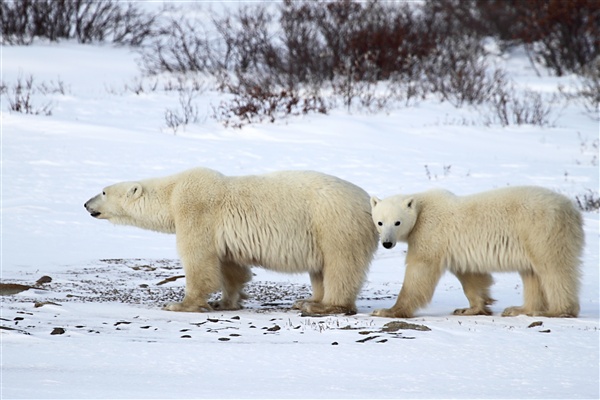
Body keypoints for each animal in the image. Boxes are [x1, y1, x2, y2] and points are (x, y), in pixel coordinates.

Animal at [84, 167, 378, 314]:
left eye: (103, 191)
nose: (86, 204)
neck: (172, 193)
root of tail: (371, 203)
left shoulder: (195, 210)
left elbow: (198, 260)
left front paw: (180, 304)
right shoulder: (223, 235)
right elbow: (231, 267)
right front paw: (224, 302)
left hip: (335, 224)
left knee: (340, 266)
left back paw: (324, 306)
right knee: (319, 270)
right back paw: (309, 300)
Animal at [368, 187, 584, 318]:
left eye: (397, 222)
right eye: (380, 222)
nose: (387, 243)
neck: (422, 208)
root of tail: (572, 210)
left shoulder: (429, 232)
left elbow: (420, 272)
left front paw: (386, 311)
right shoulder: (457, 249)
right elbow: (471, 277)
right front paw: (470, 308)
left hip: (542, 231)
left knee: (553, 270)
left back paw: (554, 311)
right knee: (531, 273)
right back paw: (518, 309)